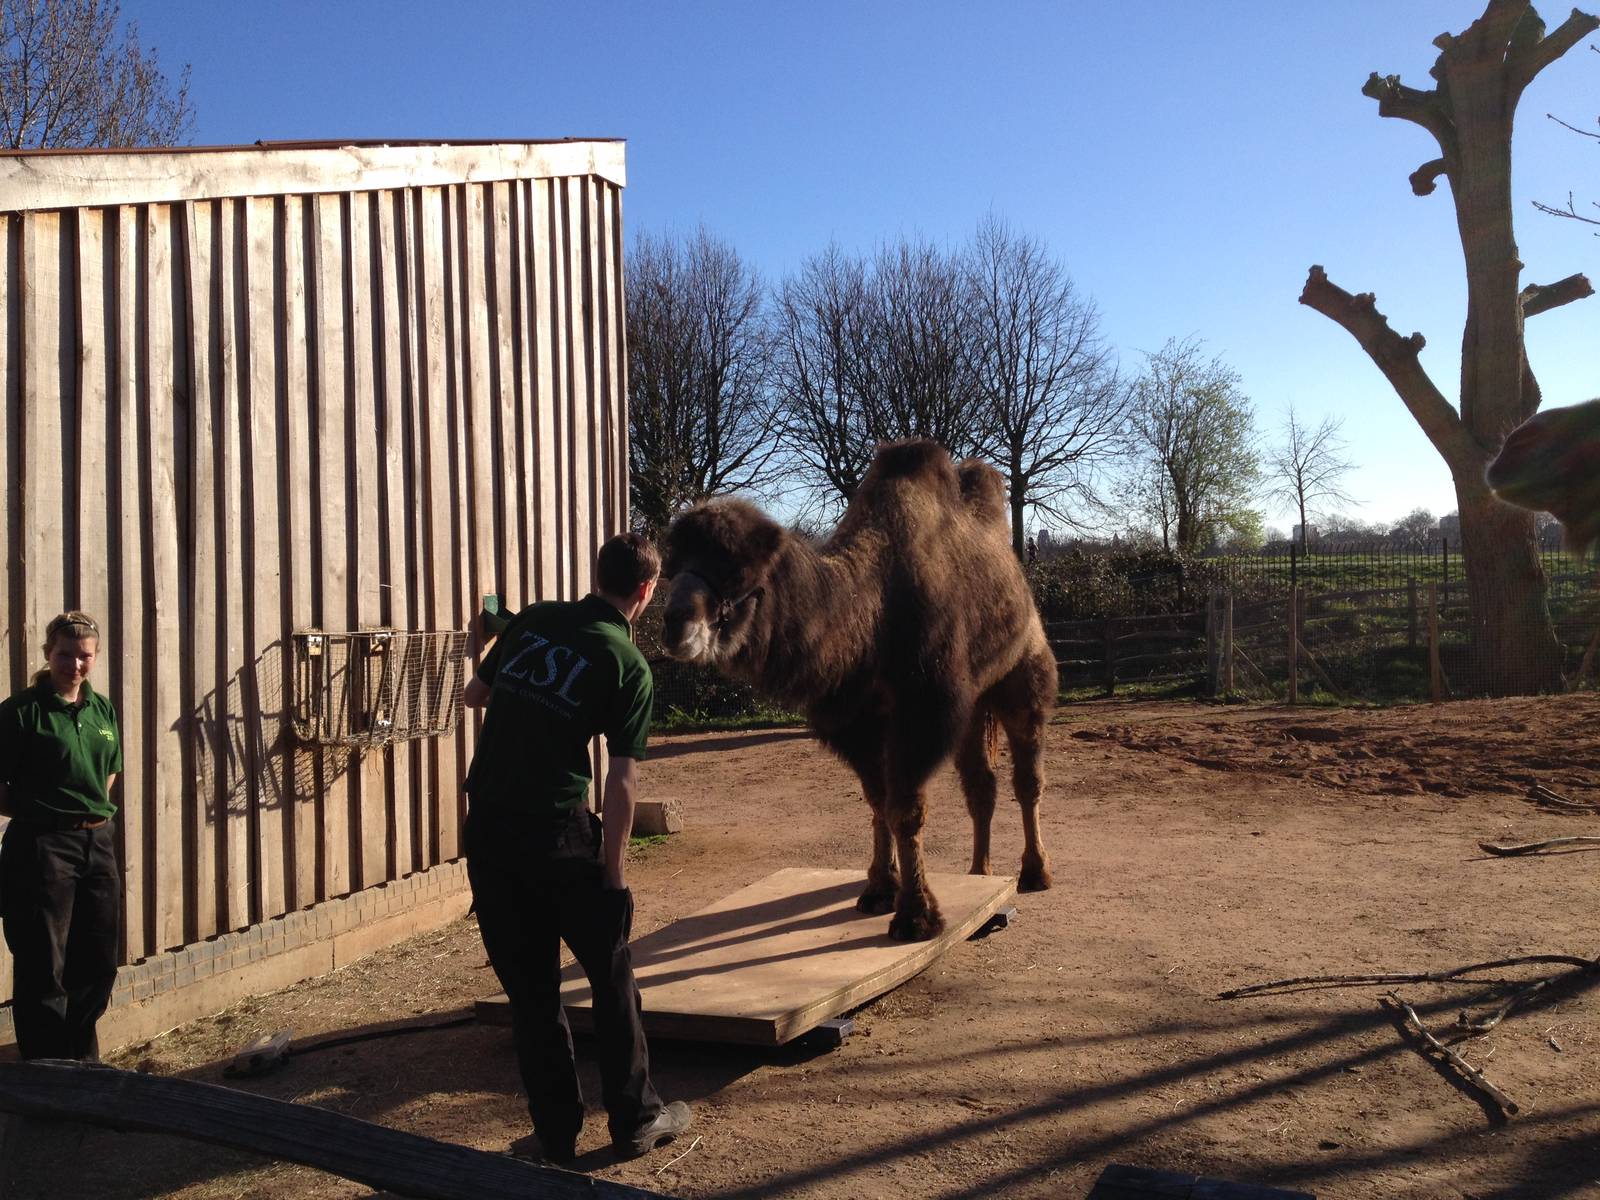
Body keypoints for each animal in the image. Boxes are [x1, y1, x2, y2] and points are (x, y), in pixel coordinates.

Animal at [660, 439, 1056, 942]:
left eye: (737, 572)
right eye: (672, 567)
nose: (674, 623)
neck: (872, 615)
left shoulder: (923, 710)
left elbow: (904, 808)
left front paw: (915, 916)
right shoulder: (858, 720)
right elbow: (878, 803)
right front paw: (879, 891)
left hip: (1024, 672)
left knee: (1028, 777)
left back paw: (1035, 872)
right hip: (971, 708)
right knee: (980, 785)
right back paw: (980, 873)